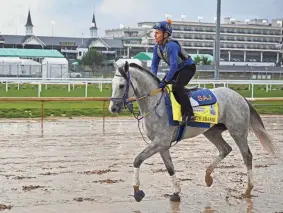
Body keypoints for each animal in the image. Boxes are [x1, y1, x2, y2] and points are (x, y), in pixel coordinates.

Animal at [109, 62, 280, 203]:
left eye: (122, 85)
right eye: (112, 84)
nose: (113, 108)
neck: (156, 103)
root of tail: (240, 97)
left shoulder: (160, 142)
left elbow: (137, 160)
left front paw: (137, 191)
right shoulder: (162, 145)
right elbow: (170, 167)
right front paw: (176, 192)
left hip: (237, 131)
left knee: (247, 155)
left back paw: (248, 189)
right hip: (211, 131)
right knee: (225, 149)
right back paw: (208, 177)